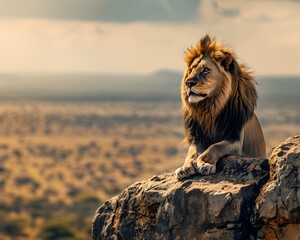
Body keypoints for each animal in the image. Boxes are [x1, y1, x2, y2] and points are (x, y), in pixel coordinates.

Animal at [175, 34, 266, 179]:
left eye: (206, 70)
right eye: (191, 70)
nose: (188, 83)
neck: (210, 108)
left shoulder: (235, 139)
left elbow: (215, 146)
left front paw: (205, 164)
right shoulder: (198, 137)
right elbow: (191, 153)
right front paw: (185, 168)